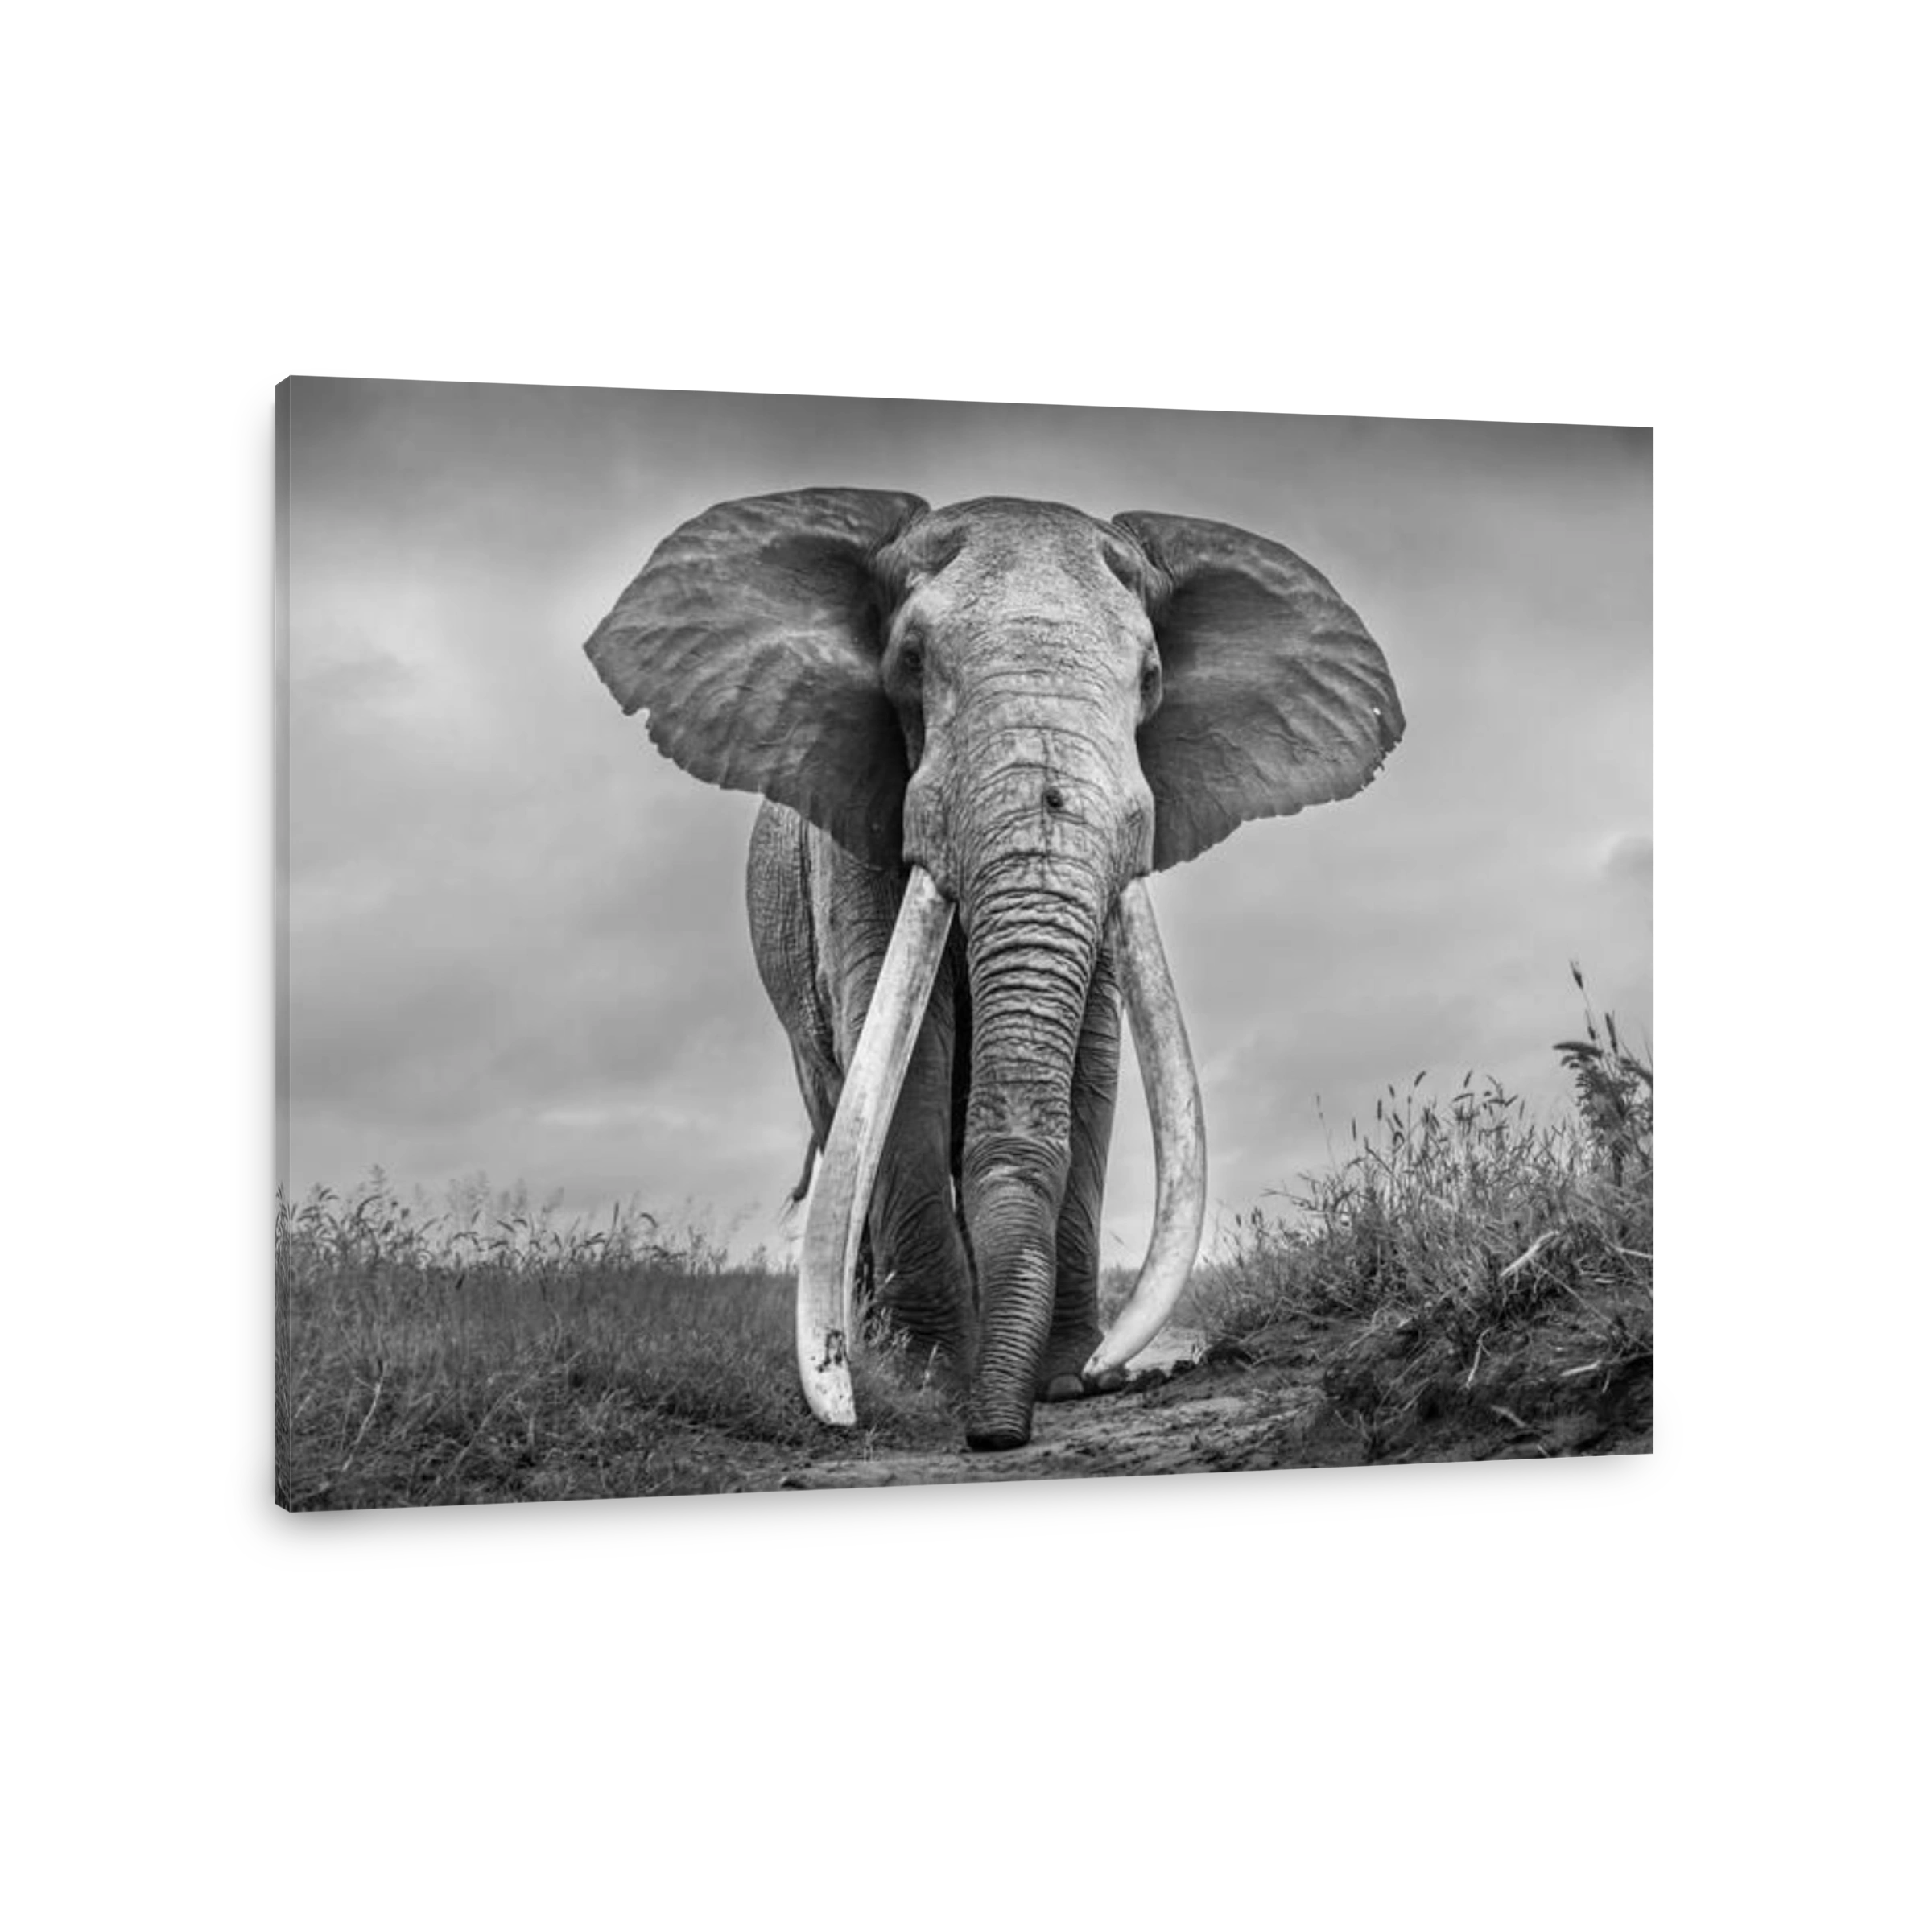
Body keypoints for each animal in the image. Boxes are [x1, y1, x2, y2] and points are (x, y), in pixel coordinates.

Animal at [584, 490, 1402, 1450]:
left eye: (1151, 677)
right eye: (908, 661)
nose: (995, 1435)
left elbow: (1091, 1065)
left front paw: (1068, 1382)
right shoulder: (859, 833)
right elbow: (909, 1063)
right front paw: (929, 1384)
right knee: (841, 1109)